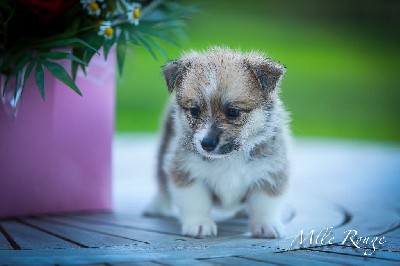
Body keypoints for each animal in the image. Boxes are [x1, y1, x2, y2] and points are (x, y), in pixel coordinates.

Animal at [145, 46, 290, 238]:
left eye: (233, 112)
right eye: (195, 111)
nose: (206, 144)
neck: (230, 157)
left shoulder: (271, 171)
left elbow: (265, 204)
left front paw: (267, 226)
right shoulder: (185, 170)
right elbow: (196, 202)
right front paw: (199, 225)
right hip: (164, 150)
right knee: (161, 180)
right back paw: (157, 205)